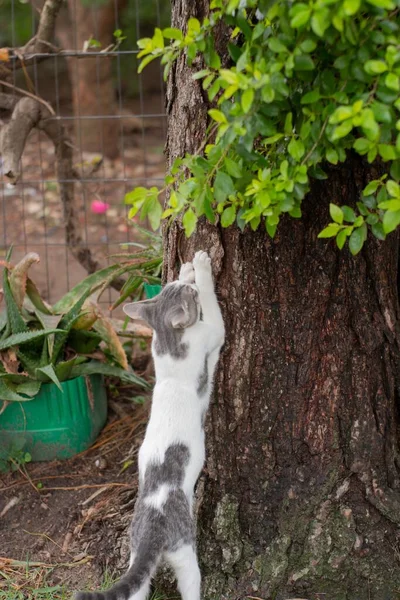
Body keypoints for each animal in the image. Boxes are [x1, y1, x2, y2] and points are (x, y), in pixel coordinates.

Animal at [74, 250, 225, 600]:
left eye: (175, 288)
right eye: (191, 297)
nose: (189, 285)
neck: (168, 342)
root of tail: (150, 531)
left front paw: (187, 268)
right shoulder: (210, 333)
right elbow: (214, 313)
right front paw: (202, 268)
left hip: (135, 562)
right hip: (185, 552)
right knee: (191, 584)